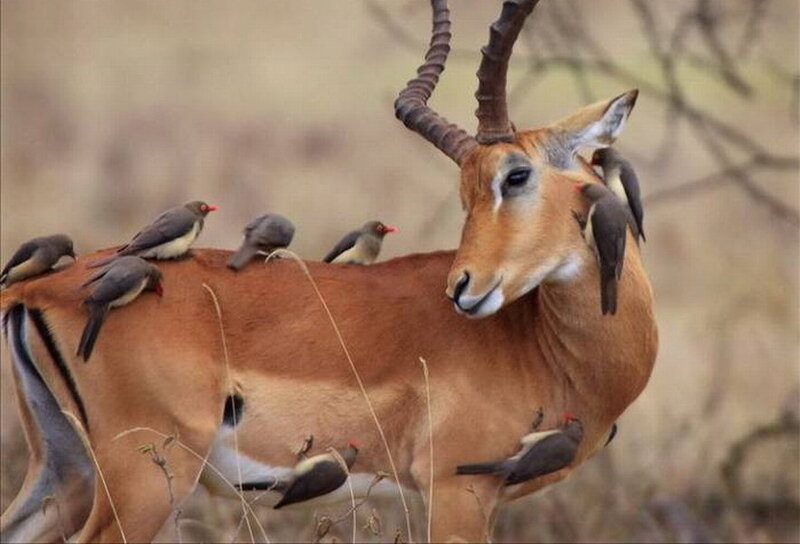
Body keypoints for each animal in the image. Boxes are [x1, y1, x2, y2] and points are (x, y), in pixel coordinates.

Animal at [0, 0, 658, 542]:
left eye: (516, 175)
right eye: (468, 190)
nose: (463, 289)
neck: (545, 346)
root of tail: (38, 288)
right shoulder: (456, 491)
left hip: (66, 474)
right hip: (142, 483)